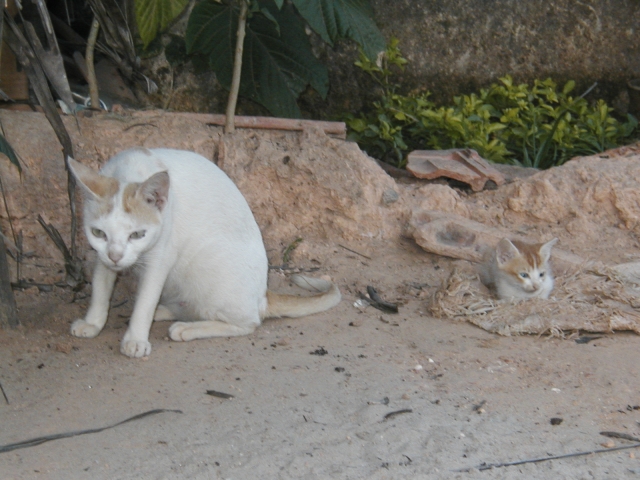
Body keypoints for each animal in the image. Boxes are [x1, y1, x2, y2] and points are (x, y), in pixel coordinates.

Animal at [67, 148, 341, 358]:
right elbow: (100, 288)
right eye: (99, 233)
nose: (116, 256)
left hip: (209, 269)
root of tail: (263, 294)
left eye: (137, 235)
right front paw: (93, 322)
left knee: (249, 323)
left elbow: (145, 299)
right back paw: (166, 312)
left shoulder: (160, 258)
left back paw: (186, 328)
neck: (130, 169)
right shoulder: (100, 256)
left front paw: (135, 339)